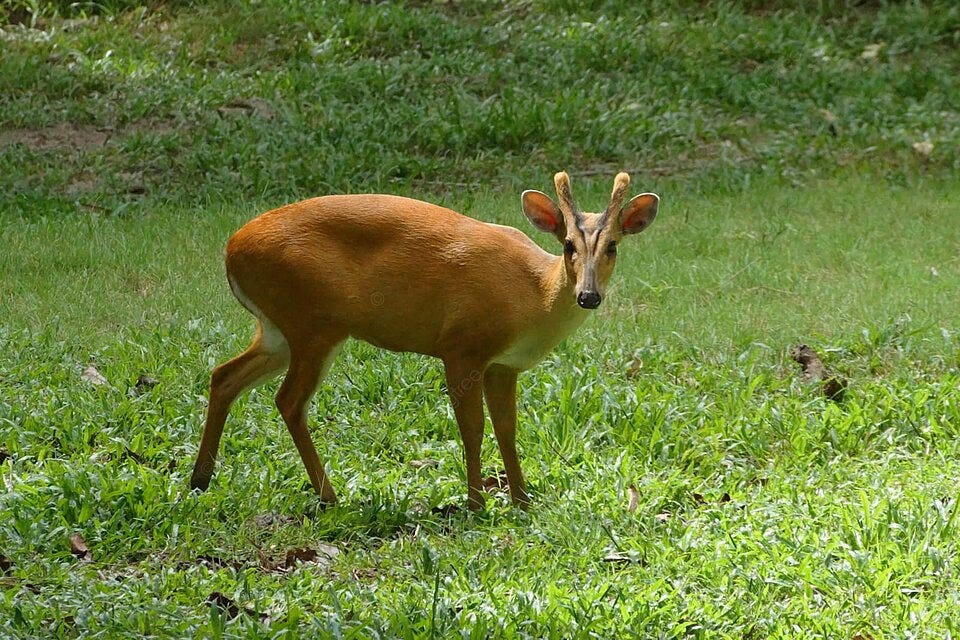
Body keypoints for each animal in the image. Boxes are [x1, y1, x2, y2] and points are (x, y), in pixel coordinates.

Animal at [193, 171, 660, 510]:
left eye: (612, 246)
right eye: (567, 244)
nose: (588, 295)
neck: (532, 297)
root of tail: (231, 250)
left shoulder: (503, 365)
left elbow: (507, 428)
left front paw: (522, 501)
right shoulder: (462, 346)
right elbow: (472, 427)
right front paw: (476, 503)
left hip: (278, 329)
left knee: (224, 376)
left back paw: (200, 479)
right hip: (313, 322)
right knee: (288, 400)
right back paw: (329, 495)